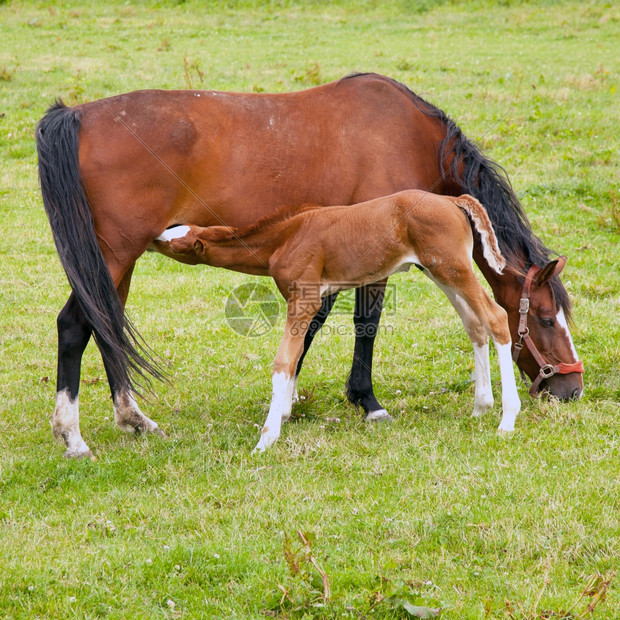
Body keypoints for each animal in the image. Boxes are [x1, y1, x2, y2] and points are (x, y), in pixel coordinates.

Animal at [154, 189, 520, 450]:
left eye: (175, 242)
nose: (152, 236)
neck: (284, 237)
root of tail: (451, 199)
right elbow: (298, 353)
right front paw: (284, 413)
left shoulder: (305, 299)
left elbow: (284, 360)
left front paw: (267, 437)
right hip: (440, 270)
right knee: (475, 324)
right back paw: (481, 406)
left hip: (451, 266)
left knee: (496, 317)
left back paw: (506, 419)